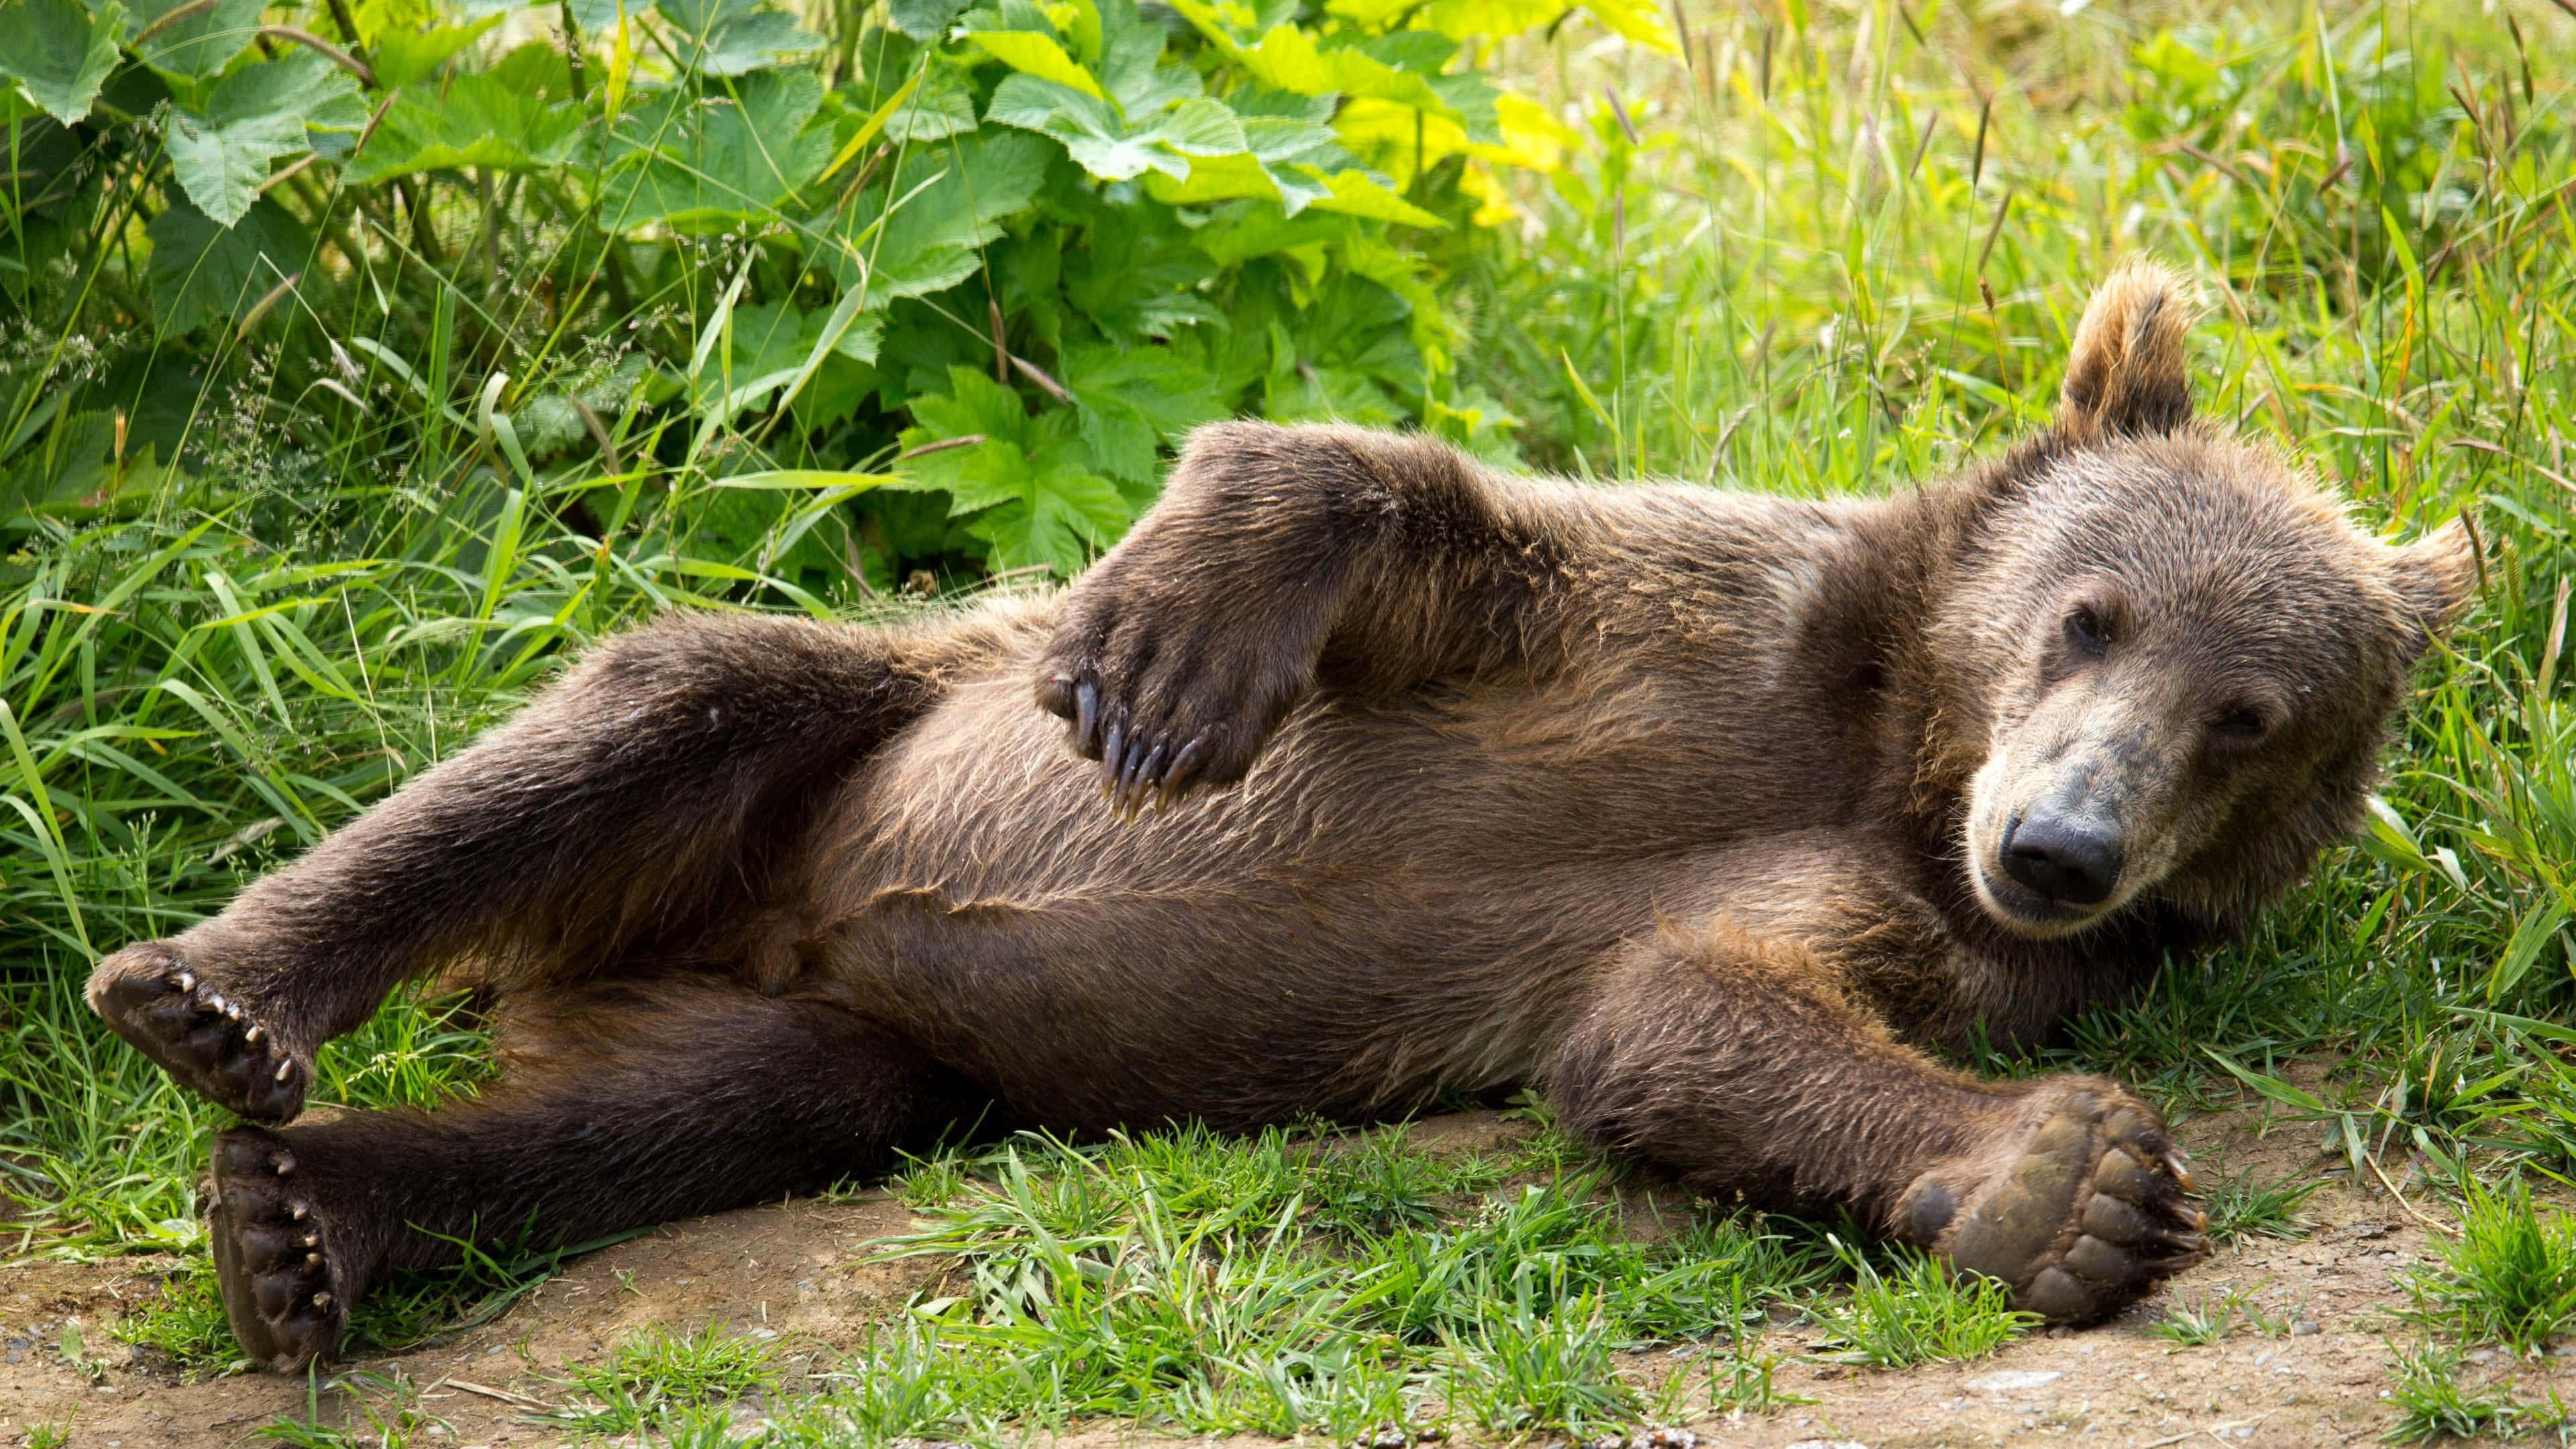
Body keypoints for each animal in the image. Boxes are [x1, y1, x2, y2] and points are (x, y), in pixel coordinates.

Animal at [85, 260, 2474, 1373]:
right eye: (2088, 613)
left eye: (2248, 717)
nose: (2056, 849)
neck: (1885, 753)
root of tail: (769, 938)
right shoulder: (1681, 634)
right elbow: (1387, 498)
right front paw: (1166, 662)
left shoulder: (1907, 933)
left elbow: (1690, 1017)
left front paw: (2060, 1187)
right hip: (837, 752)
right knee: (658, 705)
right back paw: (214, 995)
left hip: (867, 1053)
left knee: (673, 1119)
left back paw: (307, 1222)